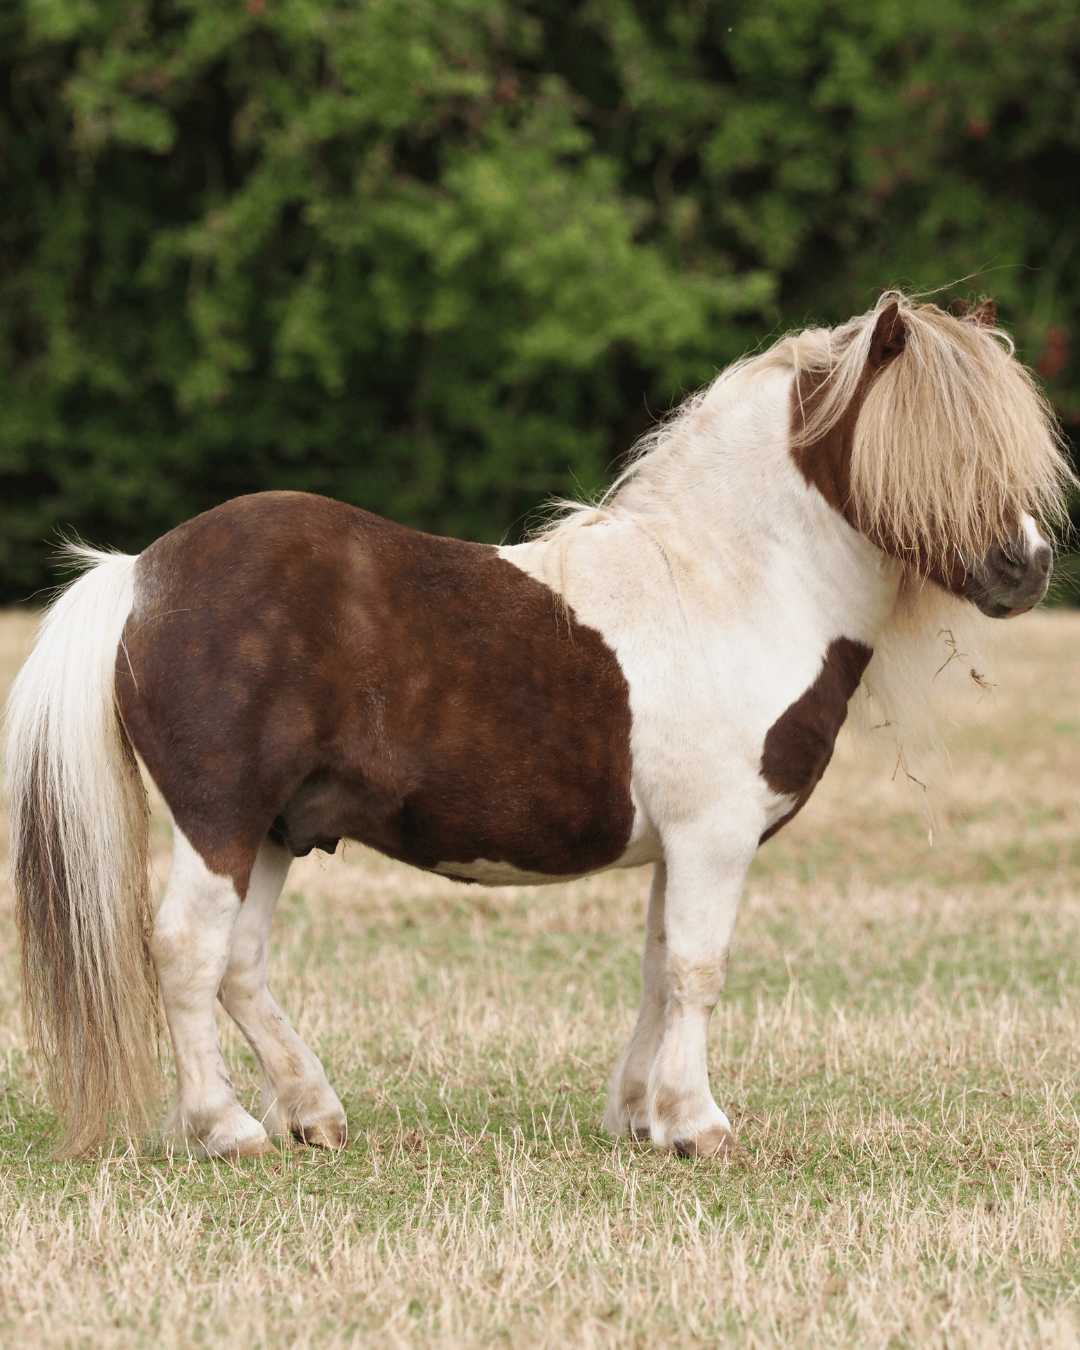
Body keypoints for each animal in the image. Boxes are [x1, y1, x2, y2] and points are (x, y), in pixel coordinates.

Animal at [5, 292, 1072, 1160]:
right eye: (938, 446)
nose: (1025, 569)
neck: (733, 588)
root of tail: (142, 573)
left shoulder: (681, 847)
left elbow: (657, 972)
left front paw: (643, 1117)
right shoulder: (715, 838)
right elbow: (698, 971)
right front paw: (700, 1126)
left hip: (275, 829)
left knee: (239, 965)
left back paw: (313, 1114)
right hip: (219, 820)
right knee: (188, 950)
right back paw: (227, 1129)